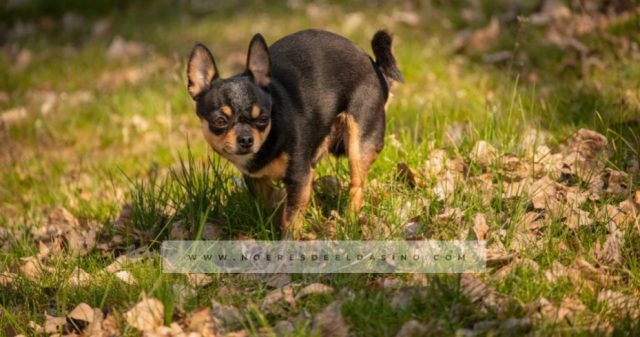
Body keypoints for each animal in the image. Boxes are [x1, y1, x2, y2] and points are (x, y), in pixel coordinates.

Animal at [188, 29, 402, 239]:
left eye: (263, 119)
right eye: (220, 121)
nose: (246, 139)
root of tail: (376, 68)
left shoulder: (299, 177)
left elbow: (291, 219)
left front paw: (287, 240)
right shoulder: (257, 180)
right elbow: (270, 207)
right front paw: (269, 229)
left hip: (359, 143)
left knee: (357, 186)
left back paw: (349, 223)